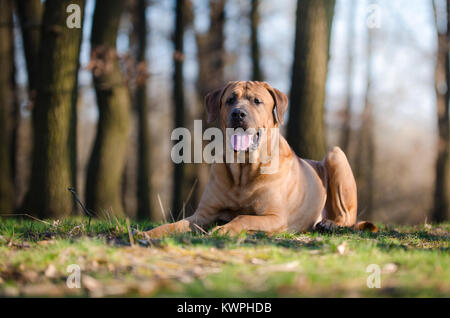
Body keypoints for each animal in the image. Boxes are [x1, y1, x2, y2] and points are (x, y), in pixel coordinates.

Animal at [144, 80, 376, 237]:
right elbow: (176, 224)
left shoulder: (275, 216)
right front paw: (149, 233)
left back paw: (330, 224)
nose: (238, 114)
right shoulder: (203, 214)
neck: (243, 169)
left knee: (348, 218)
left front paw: (224, 229)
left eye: (257, 101)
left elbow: (244, 217)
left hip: (335, 155)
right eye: (230, 100)